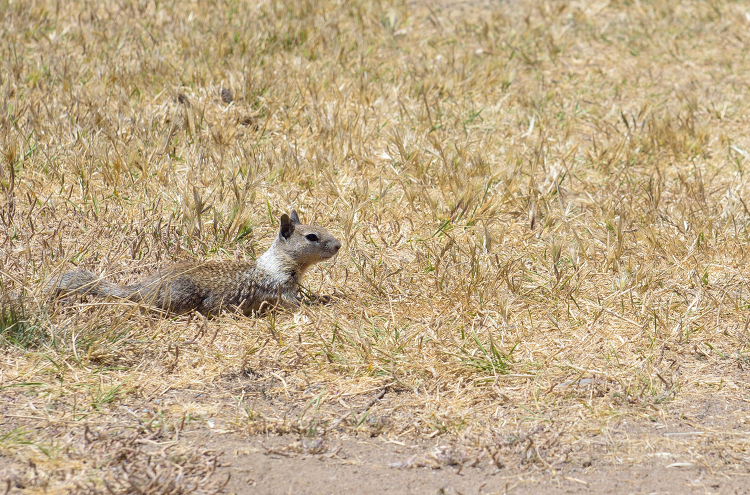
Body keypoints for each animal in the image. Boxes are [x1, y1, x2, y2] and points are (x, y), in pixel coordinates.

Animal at [46, 211, 340, 316]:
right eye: (312, 237)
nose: (338, 245)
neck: (278, 261)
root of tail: (142, 287)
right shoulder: (282, 287)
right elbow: (294, 304)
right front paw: (317, 310)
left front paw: (324, 298)